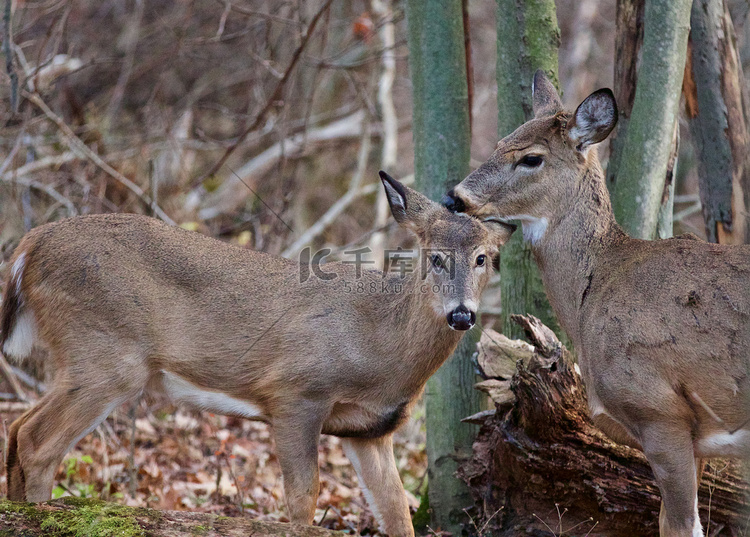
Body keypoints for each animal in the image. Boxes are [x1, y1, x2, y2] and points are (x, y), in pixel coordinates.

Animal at [0, 172, 516, 536]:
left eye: (483, 257)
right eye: (435, 257)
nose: (462, 314)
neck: (378, 349)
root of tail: (28, 247)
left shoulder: (369, 430)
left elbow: (398, 513)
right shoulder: (295, 393)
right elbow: (303, 499)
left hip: (84, 357)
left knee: (18, 427)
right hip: (106, 353)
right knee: (38, 443)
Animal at [444, 71, 750, 536]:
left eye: (531, 158)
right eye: (500, 142)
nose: (455, 197)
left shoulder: (660, 410)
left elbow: (681, 526)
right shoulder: (694, 440)